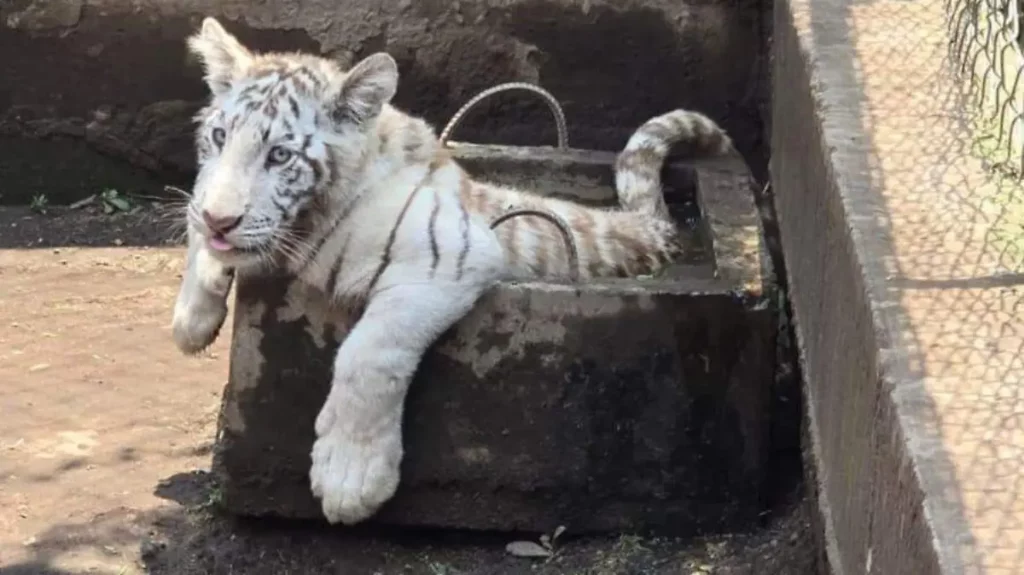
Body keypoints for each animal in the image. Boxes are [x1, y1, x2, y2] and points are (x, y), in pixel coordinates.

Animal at [171, 17, 733, 526]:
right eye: (219, 136)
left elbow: (368, 354)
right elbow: (198, 214)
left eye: (280, 155)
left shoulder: (451, 253)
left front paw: (350, 478)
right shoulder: (208, 201)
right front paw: (192, 319)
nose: (221, 220)